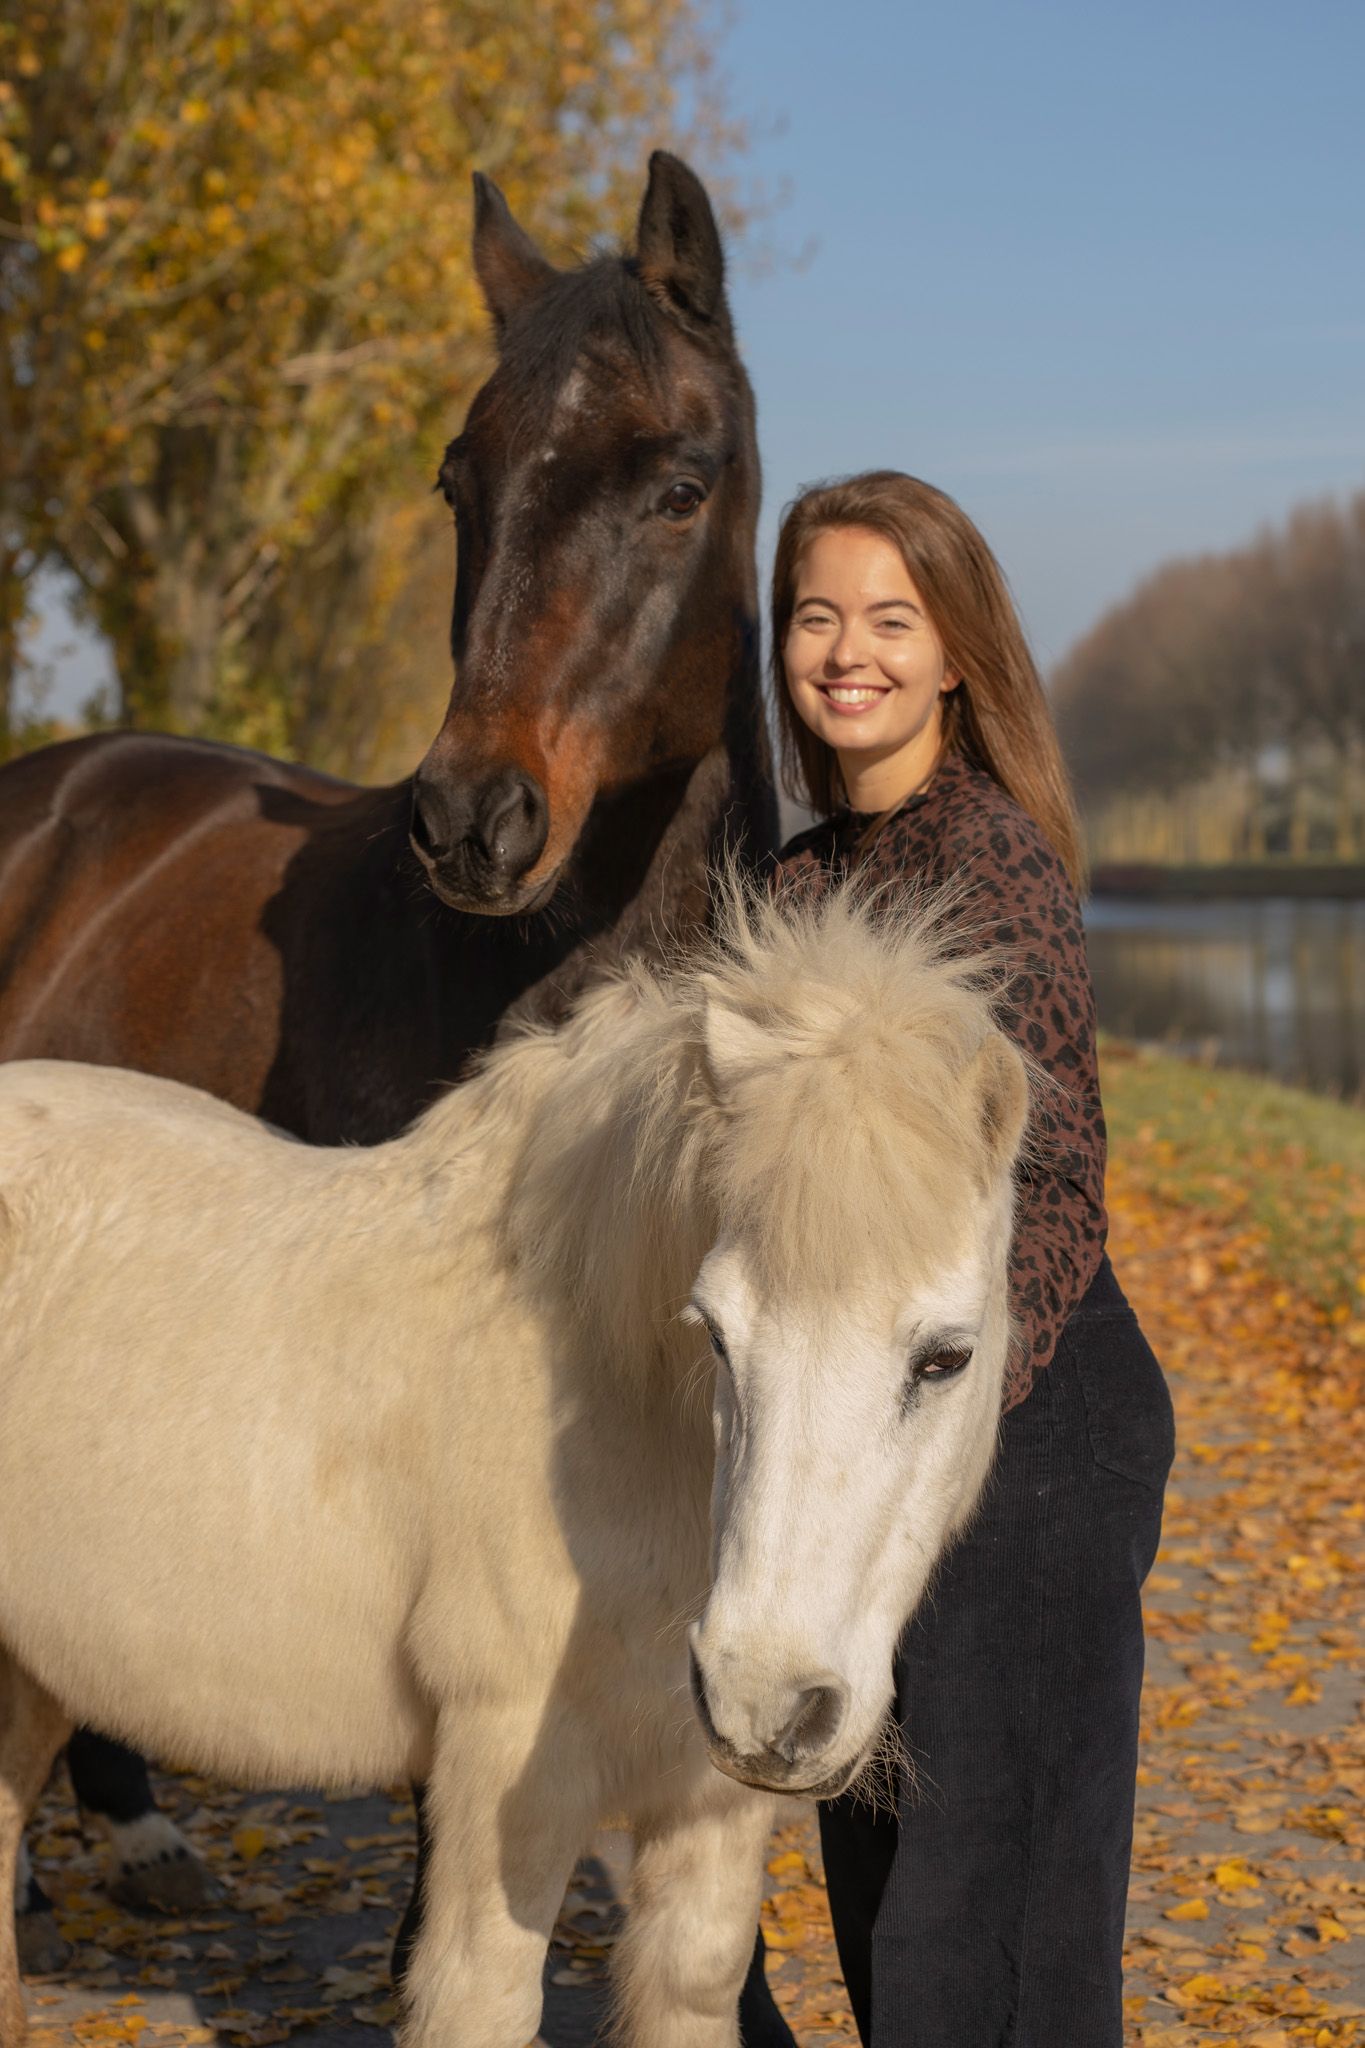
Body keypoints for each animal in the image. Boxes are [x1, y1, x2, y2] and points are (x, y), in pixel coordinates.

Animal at [0, 883, 1027, 2048]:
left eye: (943, 1357)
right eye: (717, 1335)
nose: (767, 1701)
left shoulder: (707, 1805)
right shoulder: (504, 1787)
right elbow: (481, 1998)